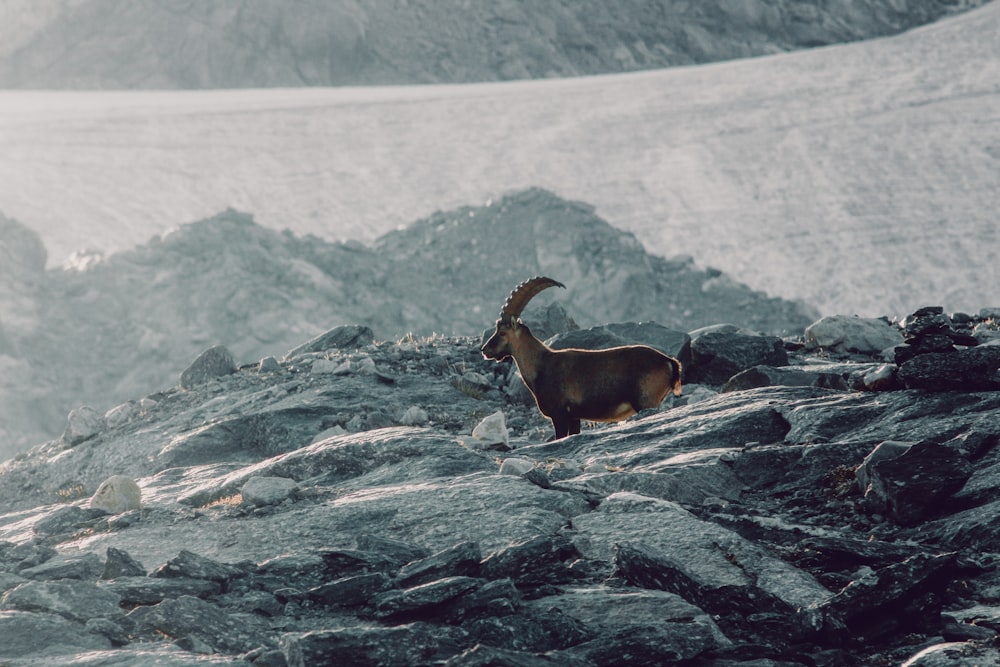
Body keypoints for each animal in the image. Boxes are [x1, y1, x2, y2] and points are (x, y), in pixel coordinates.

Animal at [482, 274, 684, 440]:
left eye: (502, 332)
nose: (485, 350)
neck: (541, 365)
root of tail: (669, 361)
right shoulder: (574, 417)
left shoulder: (560, 415)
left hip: (647, 401)